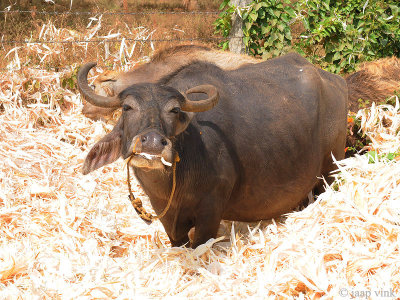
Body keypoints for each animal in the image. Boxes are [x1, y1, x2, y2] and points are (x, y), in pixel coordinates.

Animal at [77, 52, 346, 248]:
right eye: (127, 107)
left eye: (174, 110)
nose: (152, 142)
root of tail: (335, 82)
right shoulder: (165, 214)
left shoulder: (211, 211)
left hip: (331, 169)